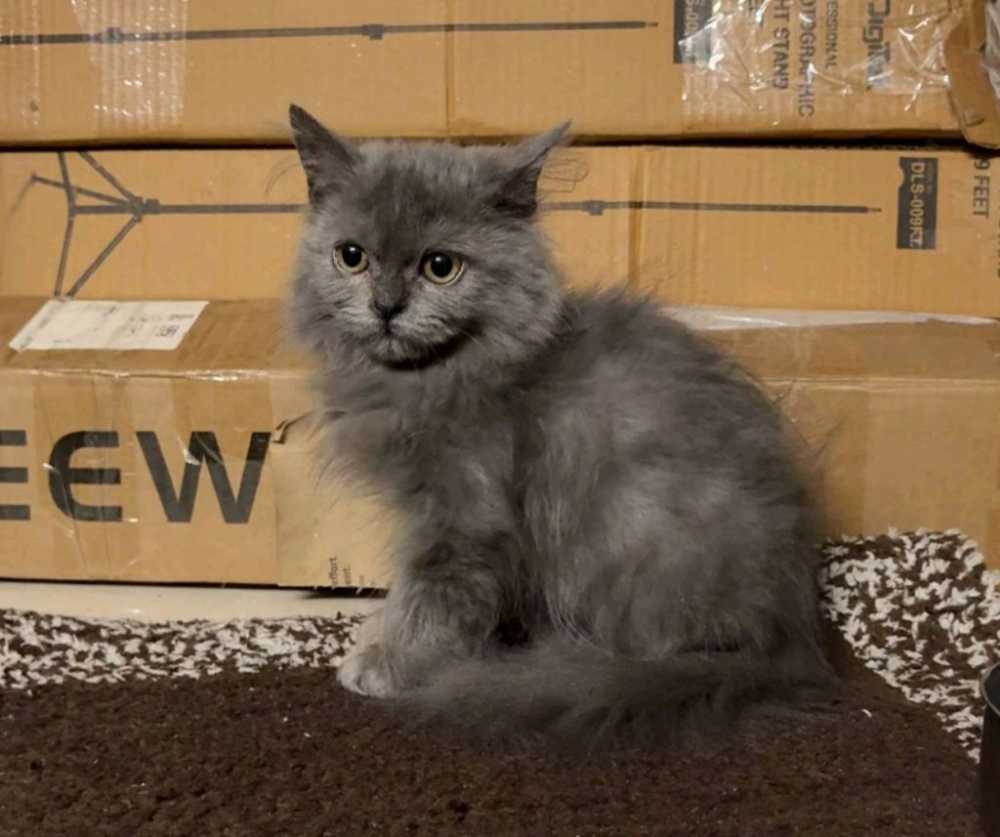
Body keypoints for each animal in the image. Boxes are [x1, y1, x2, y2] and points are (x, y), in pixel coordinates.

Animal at [287, 104, 833, 751]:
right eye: (351, 257)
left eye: (441, 267)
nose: (387, 307)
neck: (431, 378)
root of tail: (789, 637)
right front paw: (377, 632)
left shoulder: (466, 515)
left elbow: (435, 597)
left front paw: (387, 664)